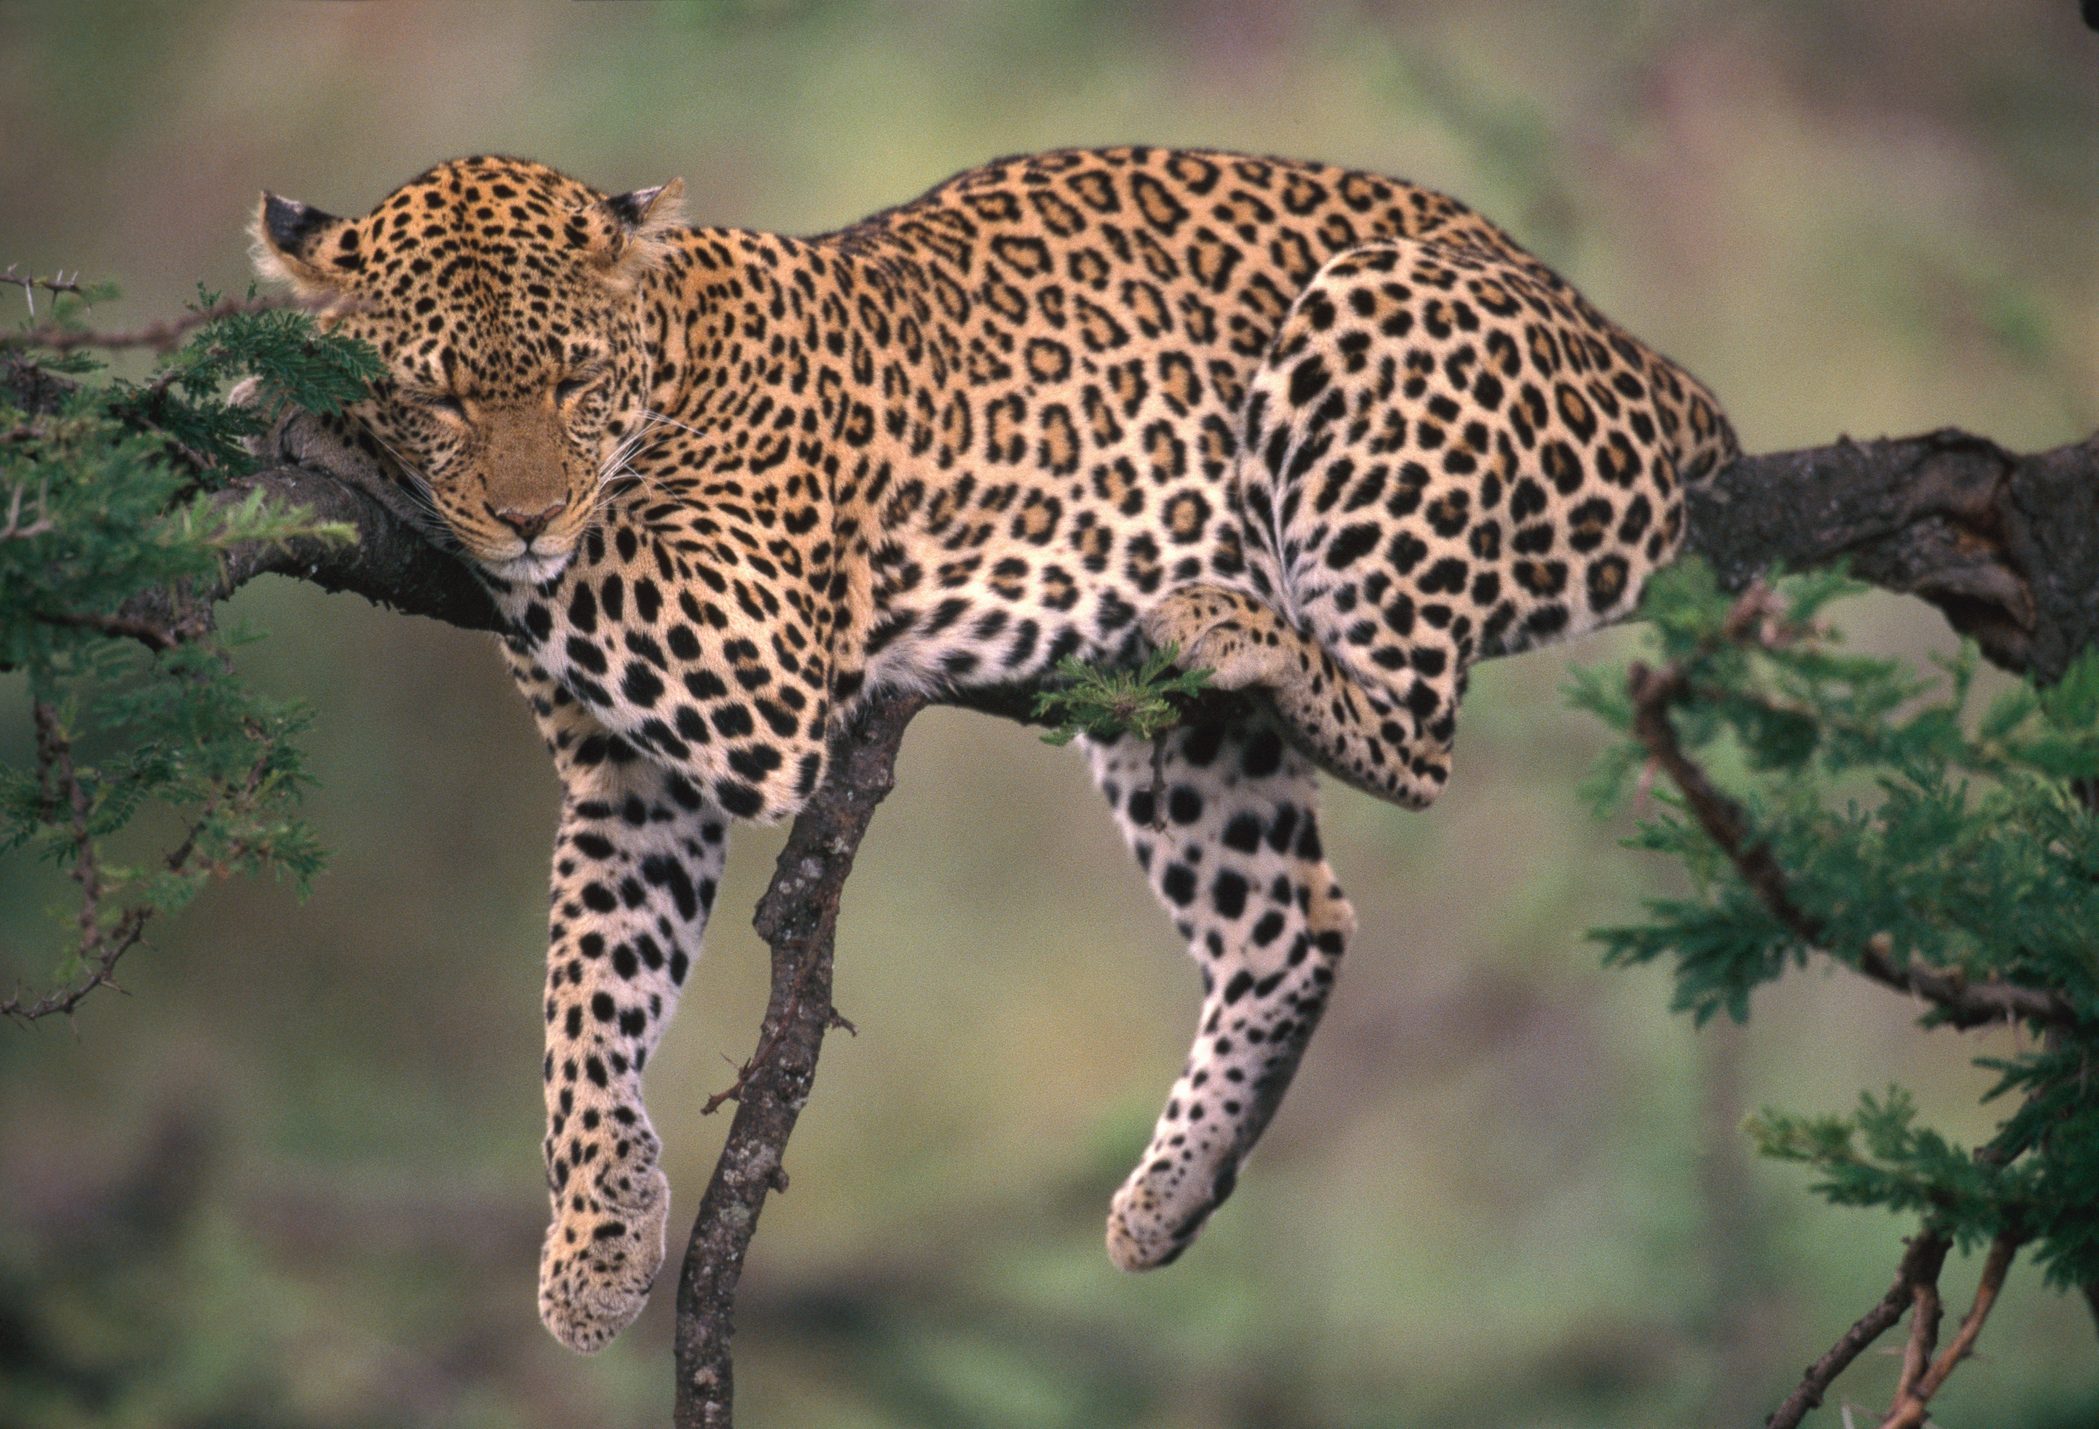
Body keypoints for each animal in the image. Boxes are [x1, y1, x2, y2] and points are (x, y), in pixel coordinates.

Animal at [250, 145, 1736, 1353]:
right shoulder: (630, 785)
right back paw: (1168, 1196)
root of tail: (1669, 376)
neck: (666, 360)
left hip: (1377, 318)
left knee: (1415, 734)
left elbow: (603, 562)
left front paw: (308, 410)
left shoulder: (747, 663)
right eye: (441, 394)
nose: (523, 519)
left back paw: (1240, 624)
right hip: (1168, 735)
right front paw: (597, 1237)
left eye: (567, 380)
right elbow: (584, 995)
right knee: (1294, 920)